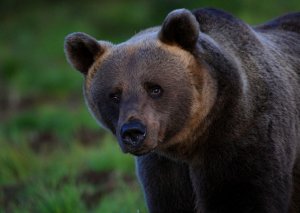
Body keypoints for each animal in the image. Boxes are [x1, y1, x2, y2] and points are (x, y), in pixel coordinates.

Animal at [64, 7, 300, 213]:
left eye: (155, 88)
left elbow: (245, 198)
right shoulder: (163, 169)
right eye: (114, 95)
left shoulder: (244, 141)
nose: (133, 132)